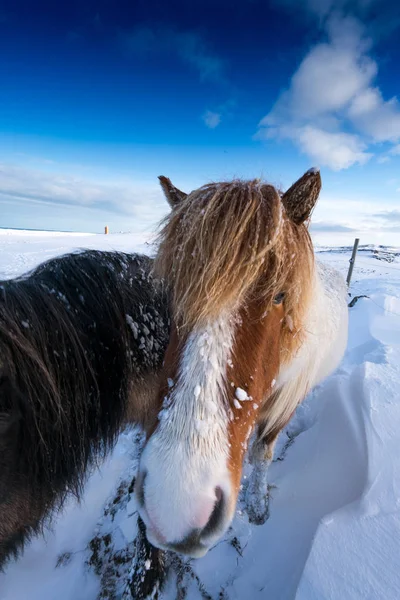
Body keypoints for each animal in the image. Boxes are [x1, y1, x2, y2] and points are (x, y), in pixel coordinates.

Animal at [134, 168, 346, 556]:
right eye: (172, 289)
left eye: (280, 295)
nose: (176, 508)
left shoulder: (284, 407)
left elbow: (262, 453)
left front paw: (259, 505)